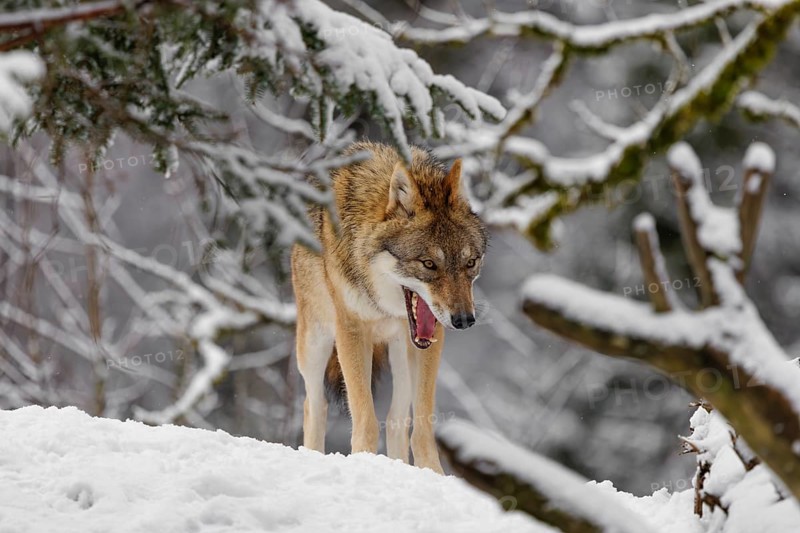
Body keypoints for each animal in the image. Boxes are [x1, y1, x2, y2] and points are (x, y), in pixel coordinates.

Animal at [291, 141, 487, 473]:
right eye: (429, 264)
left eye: (470, 262)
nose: (463, 320)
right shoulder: (351, 331)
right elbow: (366, 419)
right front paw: (363, 462)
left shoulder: (431, 340)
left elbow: (421, 427)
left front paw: (433, 474)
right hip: (315, 343)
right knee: (313, 405)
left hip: (401, 352)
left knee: (397, 420)